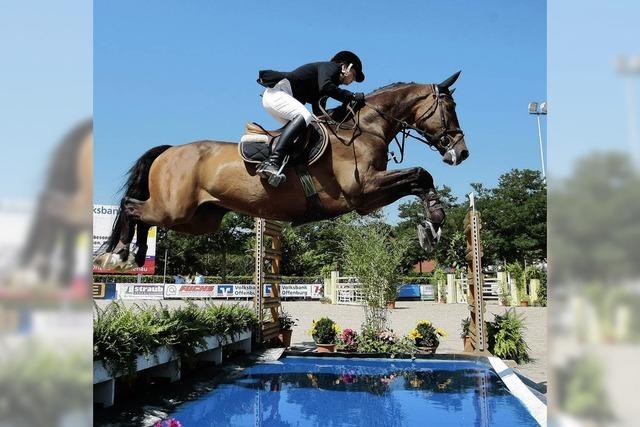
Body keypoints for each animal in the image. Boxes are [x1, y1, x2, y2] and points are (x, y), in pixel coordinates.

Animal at [95, 71, 468, 270]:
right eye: (449, 108)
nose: (462, 152)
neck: (366, 127)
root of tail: (170, 150)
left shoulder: (370, 194)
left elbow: (420, 179)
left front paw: (431, 228)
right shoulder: (363, 193)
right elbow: (420, 174)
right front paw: (434, 225)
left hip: (197, 219)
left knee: (143, 216)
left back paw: (133, 256)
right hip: (175, 210)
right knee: (131, 207)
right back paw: (118, 255)